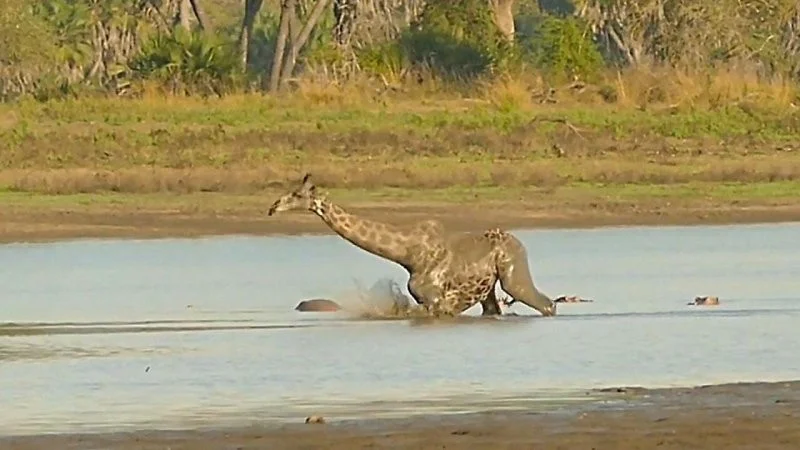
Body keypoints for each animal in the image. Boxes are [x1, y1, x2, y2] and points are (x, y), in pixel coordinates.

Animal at [267, 173, 557, 318]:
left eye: (297, 194)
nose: (272, 207)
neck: (407, 255)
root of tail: (518, 242)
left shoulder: (435, 301)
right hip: (489, 289)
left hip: (511, 275)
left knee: (545, 303)